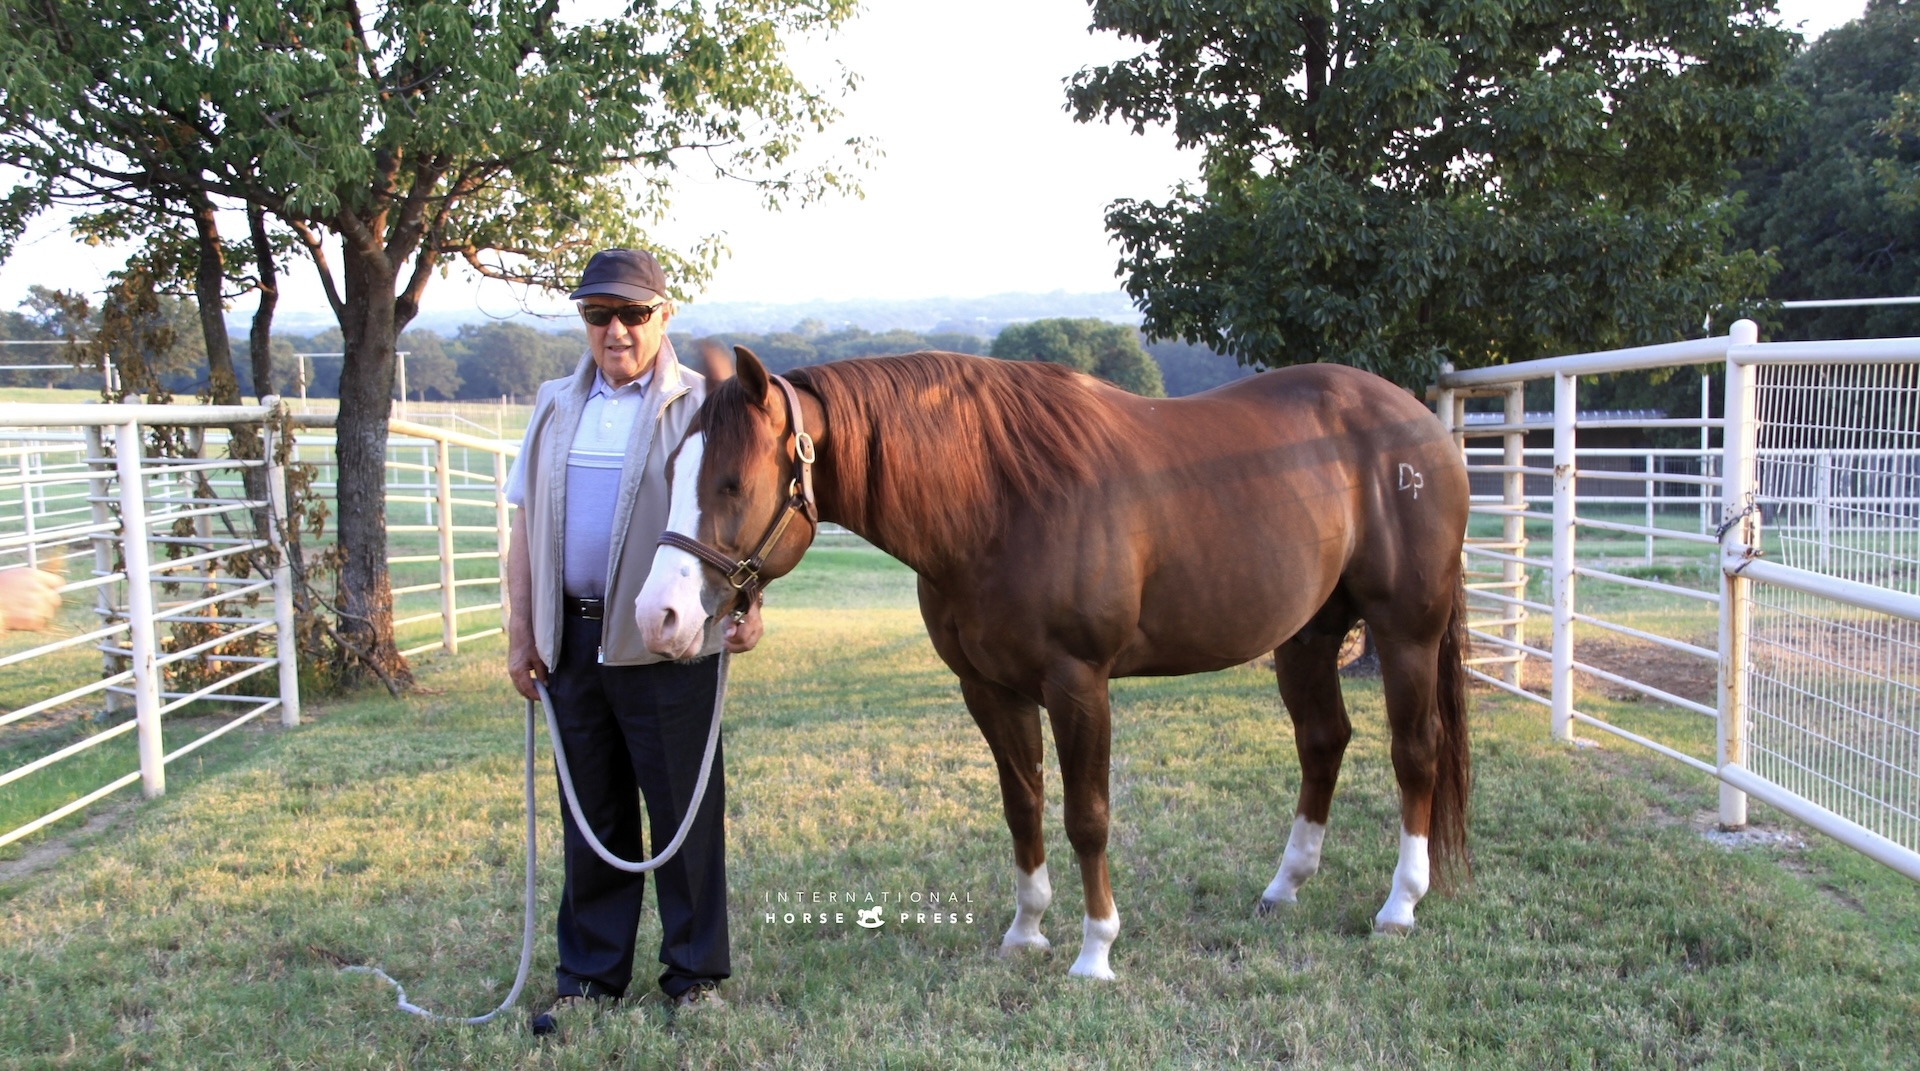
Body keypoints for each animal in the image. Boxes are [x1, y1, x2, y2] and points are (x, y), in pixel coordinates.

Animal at [634, 348, 1471, 979]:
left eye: (733, 482)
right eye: (672, 472)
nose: (658, 616)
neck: (997, 498)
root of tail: (1418, 422)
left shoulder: (1079, 683)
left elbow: (1086, 816)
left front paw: (1095, 951)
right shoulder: (990, 689)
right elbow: (1023, 804)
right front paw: (1026, 931)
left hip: (1406, 631)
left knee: (1415, 753)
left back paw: (1401, 903)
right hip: (1305, 636)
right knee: (1323, 741)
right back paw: (1284, 886)